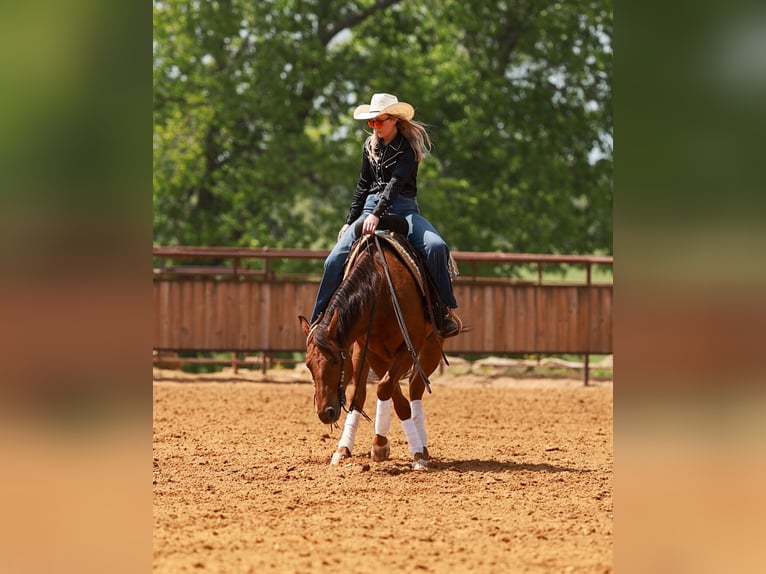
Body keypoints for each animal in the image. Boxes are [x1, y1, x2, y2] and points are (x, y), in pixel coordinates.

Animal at [299, 223, 446, 470]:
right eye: (309, 365)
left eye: (335, 360)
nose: (325, 413)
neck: (379, 287)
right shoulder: (371, 350)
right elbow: (389, 392)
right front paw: (380, 446)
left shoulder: (411, 344)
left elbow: (389, 390)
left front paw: (405, 450)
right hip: (365, 353)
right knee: (362, 395)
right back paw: (344, 448)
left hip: (432, 347)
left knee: (415, 389)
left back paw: (422, 446)